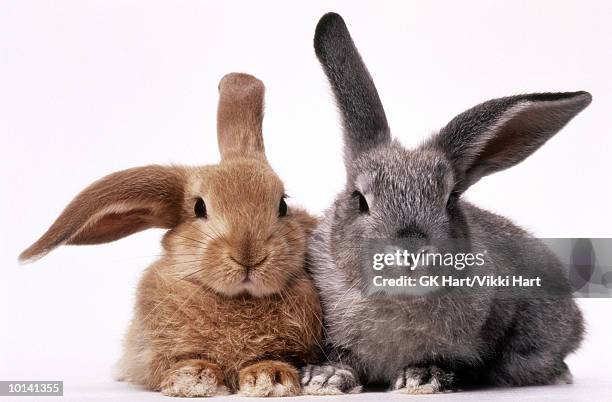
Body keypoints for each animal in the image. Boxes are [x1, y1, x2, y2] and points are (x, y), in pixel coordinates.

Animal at [17, 74, 326, 398]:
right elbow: (177, 362)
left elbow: (272, 358)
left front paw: (271, 377)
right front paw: (193, 377)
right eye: (199, 207)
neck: (239, 299)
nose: (249, 255)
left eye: (283, 205)